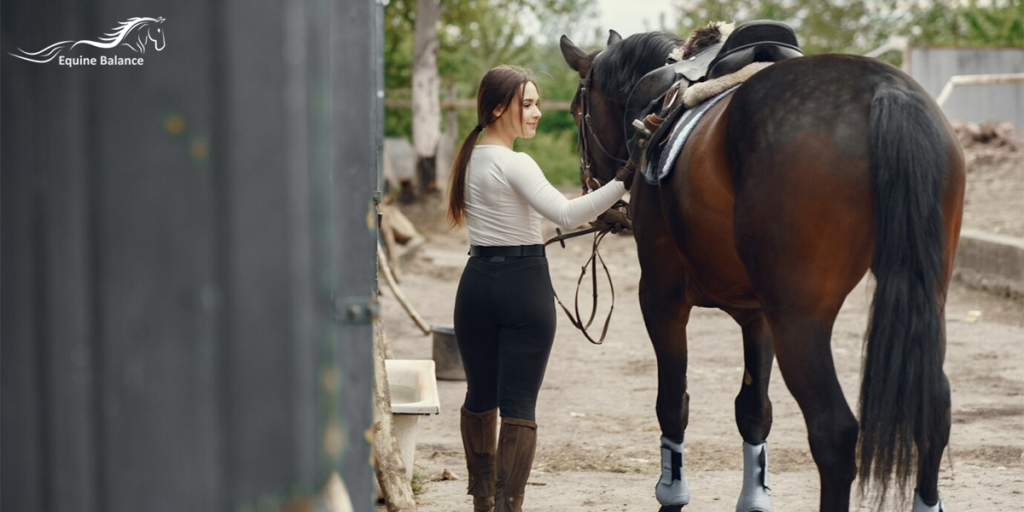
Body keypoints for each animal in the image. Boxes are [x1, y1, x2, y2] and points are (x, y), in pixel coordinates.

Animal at [561, 25, 966, 512]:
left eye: (575, 109)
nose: (594, 191)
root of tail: (886, 90)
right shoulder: (758, 315)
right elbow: (754, 409)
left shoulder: (660, 296)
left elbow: (672, 402)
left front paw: (672, 493)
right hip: (925, 299)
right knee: (934, 411)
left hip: (800, 319)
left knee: (834, 431)